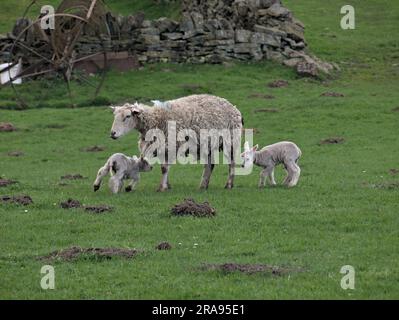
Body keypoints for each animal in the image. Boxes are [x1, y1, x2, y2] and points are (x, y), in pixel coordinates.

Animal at [108, 94, 244, 191]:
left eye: (127, 116)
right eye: (114, 116)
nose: (112, 134)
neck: (155, 119)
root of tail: (235, 108)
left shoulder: (170, 145)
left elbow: (164, 168)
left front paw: (162, 188)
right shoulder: (160, 147)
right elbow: (164, 168)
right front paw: (167, 186)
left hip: (231, 140)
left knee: (231, 163)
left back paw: (228, 185)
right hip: (208, 144)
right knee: (210, 165)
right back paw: (203, 185)